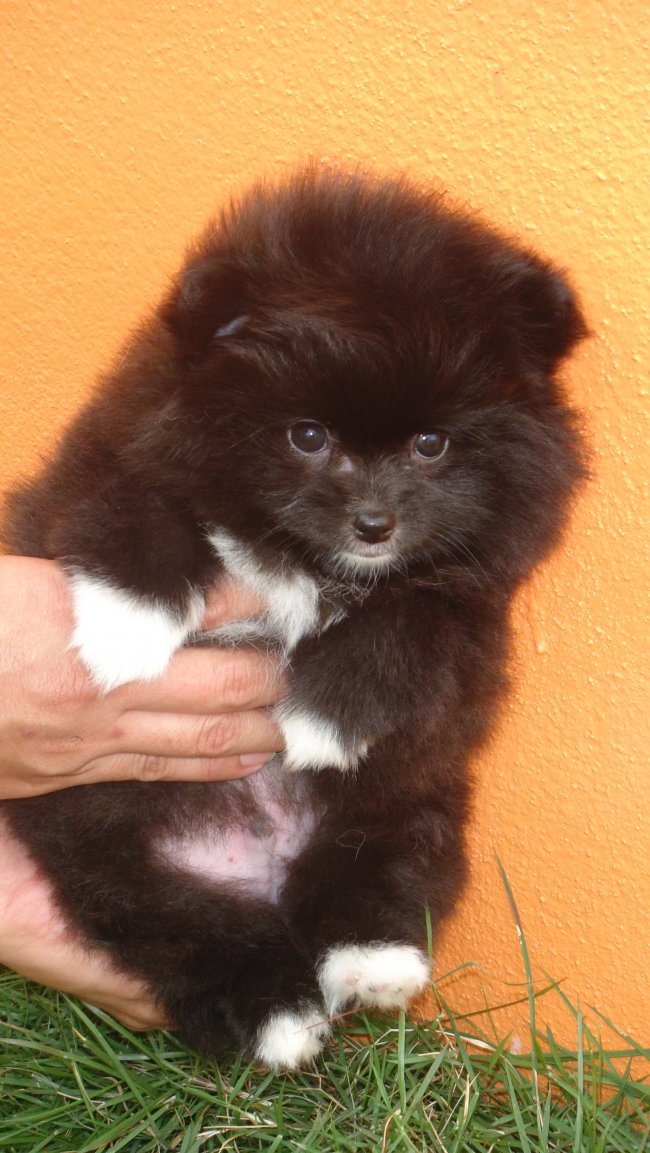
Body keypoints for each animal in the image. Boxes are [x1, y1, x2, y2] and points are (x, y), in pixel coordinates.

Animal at [1, 168, 587, 1067]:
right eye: (307, 436)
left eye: (431, 444)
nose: (375, 523)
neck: (304, 557)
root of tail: (261, 868)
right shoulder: (117, 451)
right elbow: (136, 502)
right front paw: (127, 629)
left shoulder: (471, 603)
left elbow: (416, 618)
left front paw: (323, 717)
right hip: (112, 856)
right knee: (182, 927)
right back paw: (280, 1010)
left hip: (407, 797)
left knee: (381, 866)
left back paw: (371, 964)